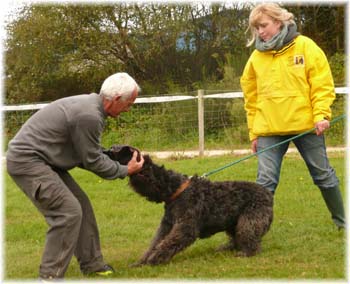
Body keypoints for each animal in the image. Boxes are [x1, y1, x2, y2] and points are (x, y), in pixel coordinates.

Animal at [128, 154, 274, 266]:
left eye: (147, 170)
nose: (142, 159)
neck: (178, 191)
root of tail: (267, 193)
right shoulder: (167, 225)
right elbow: (155, 243)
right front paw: (141, 262)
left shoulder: (185, 228)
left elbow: (166, 244)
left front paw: (154, 259)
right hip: (233, 223)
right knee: (237, 238)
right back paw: (227, 248)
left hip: (248, 222)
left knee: (250, 239)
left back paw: (246, 253)